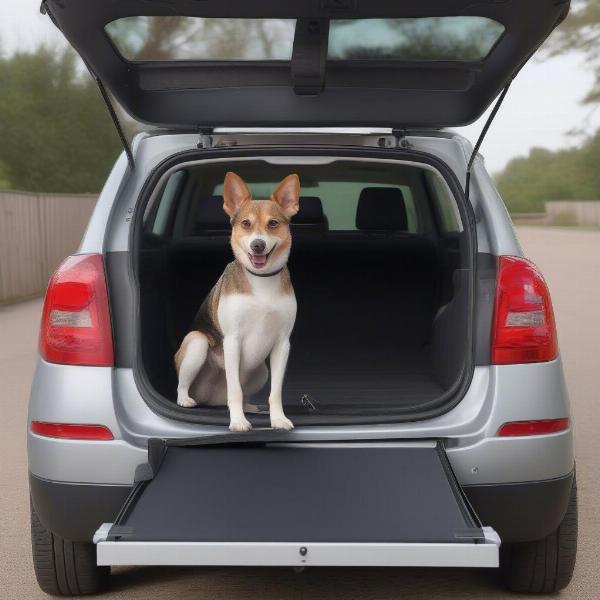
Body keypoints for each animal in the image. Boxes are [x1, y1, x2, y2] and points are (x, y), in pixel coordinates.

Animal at [176, 171, 302, 428]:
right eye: (246, 223)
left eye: (273, 224)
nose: (258, 244)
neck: (261, 279)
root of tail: (209, 397)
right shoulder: (232, 340)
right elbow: (234, 390)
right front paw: (238, 422)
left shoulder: (282, 344)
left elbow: (275, 392)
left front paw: (278, 419)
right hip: (197, 343)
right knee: (186, 385)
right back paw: (186, 399)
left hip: (262, 371)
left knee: (244, 394)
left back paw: (250, 408)